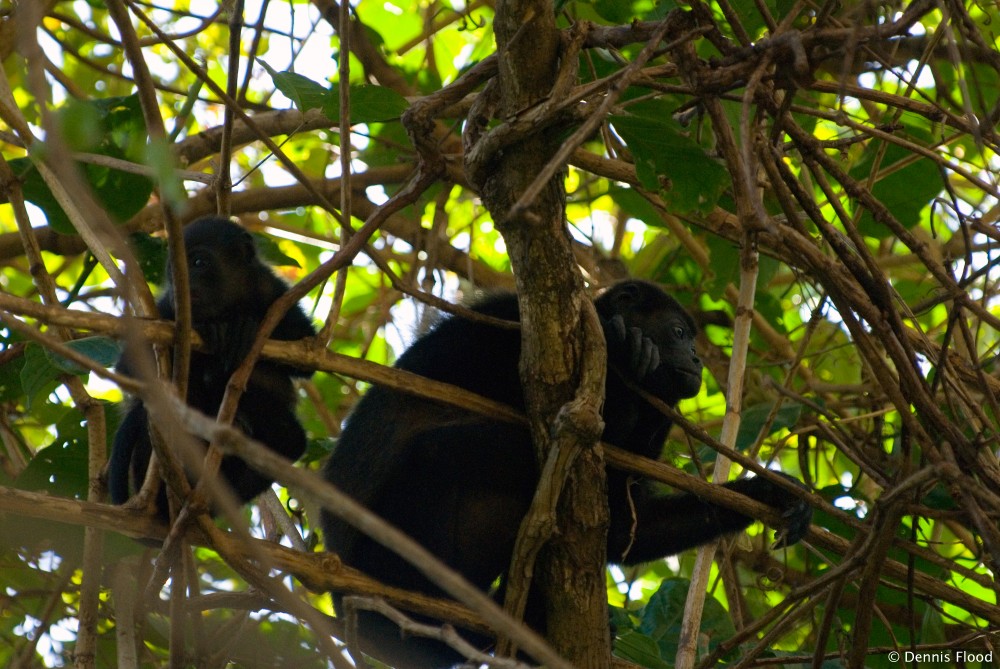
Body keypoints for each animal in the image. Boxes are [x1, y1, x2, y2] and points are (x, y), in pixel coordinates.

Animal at [108, 217, 316, 520]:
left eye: (198, 262)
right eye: (173, 272)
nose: (183, 286)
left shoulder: (273, 291)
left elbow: (307, 353)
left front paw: (244, 326)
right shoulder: (168, 308)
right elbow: (129, 367)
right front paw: (209, 331)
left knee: (289, 439)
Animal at [320, 280, 812, 668]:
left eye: (692, 339)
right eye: (678, 332)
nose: (696, 357)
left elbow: (623, 528)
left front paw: (773, 493)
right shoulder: (509, 320)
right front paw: (623, 357)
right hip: (379, 556)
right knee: (443, 453)